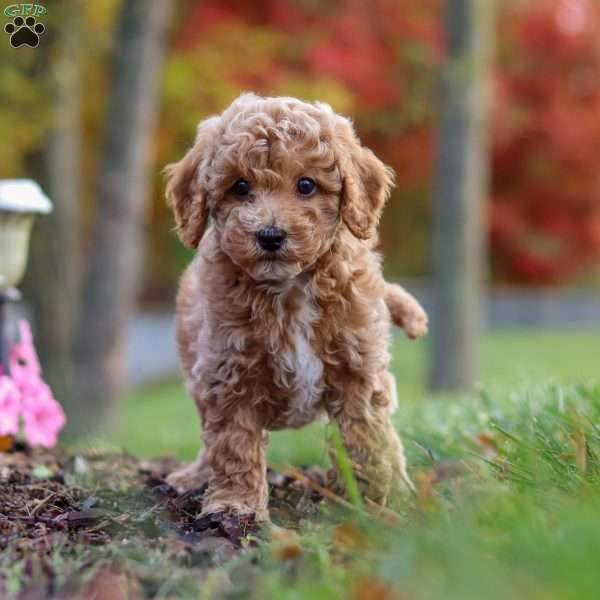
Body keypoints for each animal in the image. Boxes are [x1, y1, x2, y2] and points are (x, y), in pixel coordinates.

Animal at [164, 94, 426, 520]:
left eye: (306, 185)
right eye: (240, 186)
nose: (270, 235)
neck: (290, 288)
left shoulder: (357, 369)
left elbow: (365, 440)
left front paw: (368, 503)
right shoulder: (227, 372)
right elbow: (233, 444)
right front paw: (234, 507)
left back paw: (400, 488)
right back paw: (194, 476)